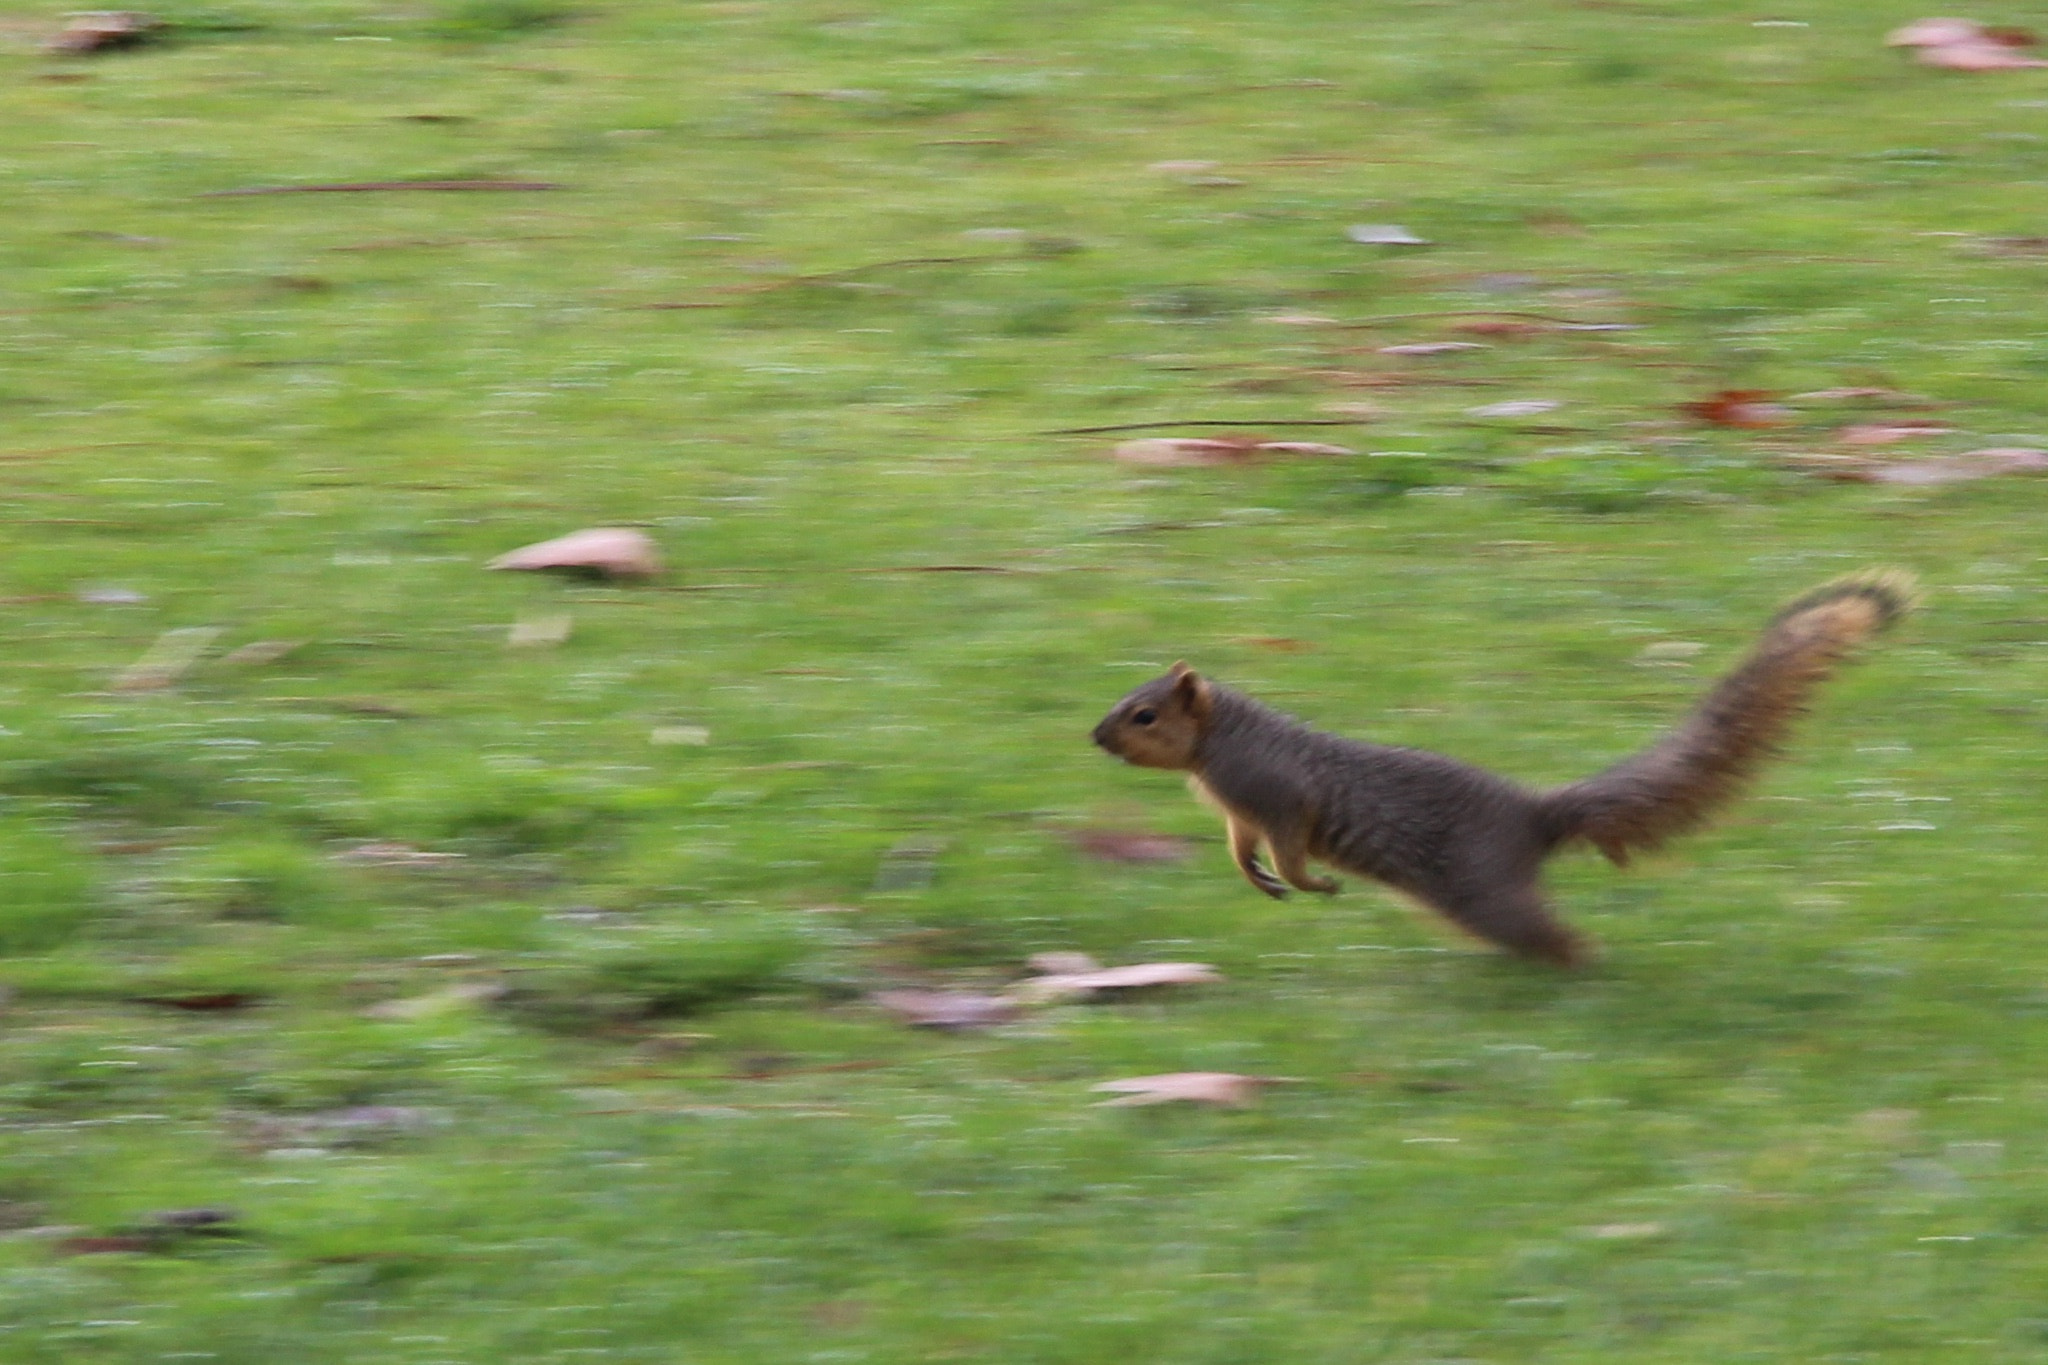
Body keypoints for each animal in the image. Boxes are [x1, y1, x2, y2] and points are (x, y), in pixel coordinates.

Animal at [1090, 571, 1917, 967]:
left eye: (1145, 715)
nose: (1095, 737)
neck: (1221, 743)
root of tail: (1532, 817)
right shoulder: (1240, 808)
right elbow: (1242, 846)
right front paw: (1257, 878)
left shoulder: (1277, 794)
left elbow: (1291, 846)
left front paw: (1314, 883)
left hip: (1483, 890)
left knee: (1552, 936)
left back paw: (1586, 969)